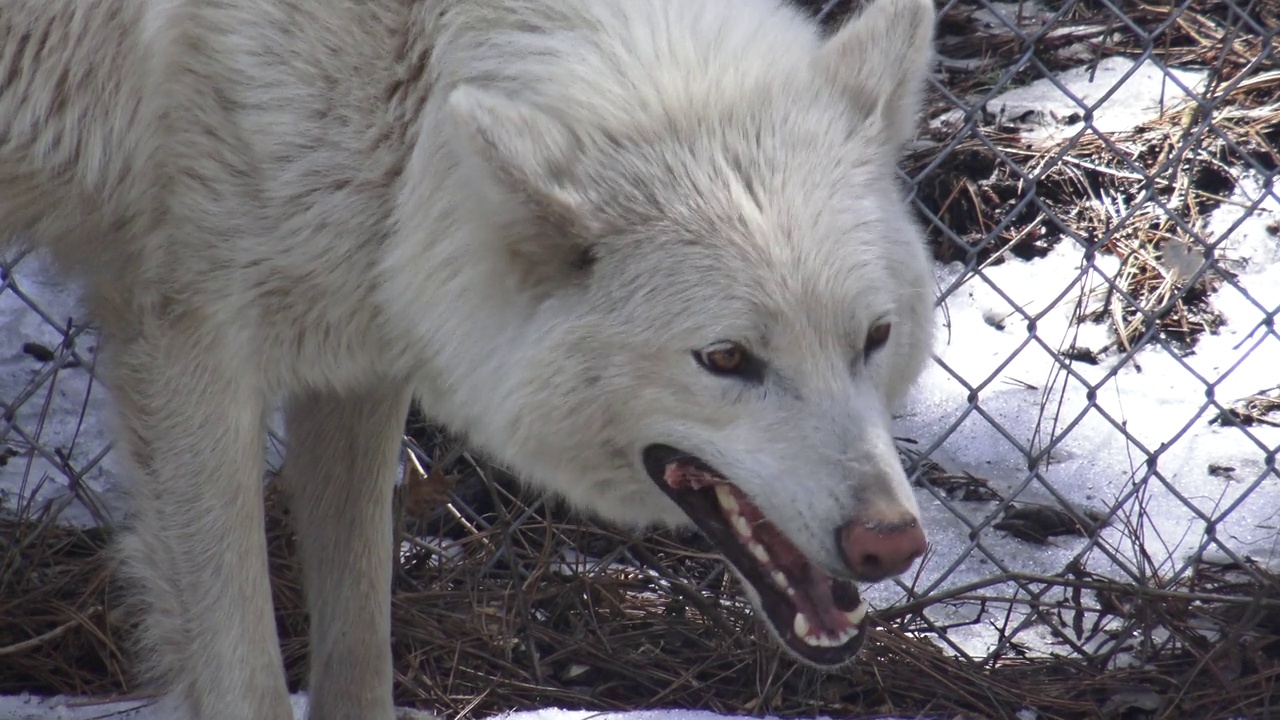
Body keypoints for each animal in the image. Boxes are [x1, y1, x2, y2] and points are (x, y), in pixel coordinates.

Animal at [2, 0, 942, 712]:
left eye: (874, 338)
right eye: (725, 358)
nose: (890, 546)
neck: (410, 79)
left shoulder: (357, 364)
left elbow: (360, 656)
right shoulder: (192, 358)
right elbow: (248, 682)